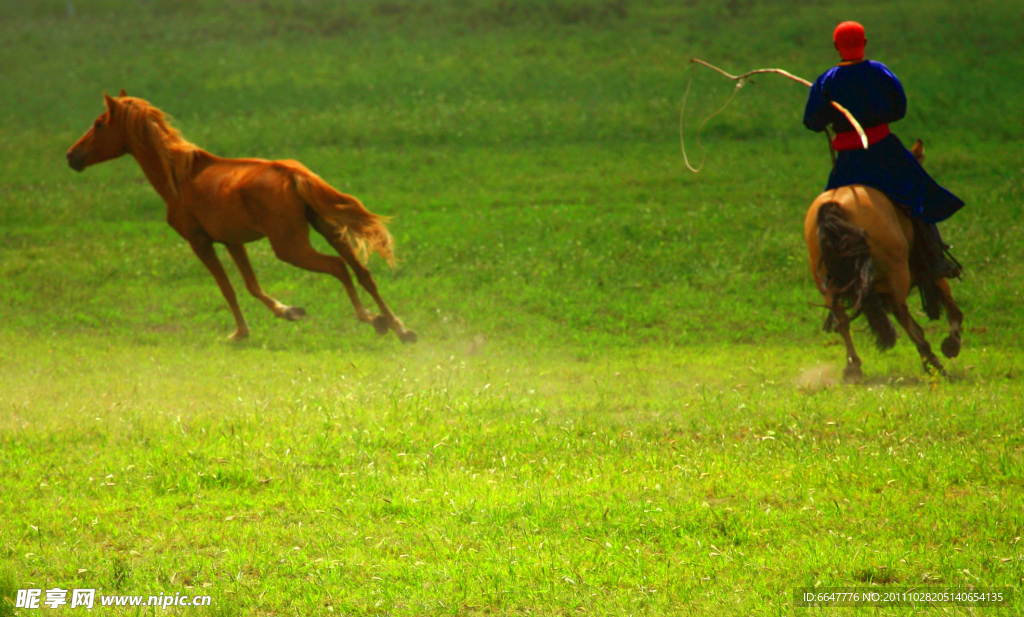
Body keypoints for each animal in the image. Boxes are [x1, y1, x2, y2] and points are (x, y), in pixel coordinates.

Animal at [67, 91, 415, 343]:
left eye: (99, 123)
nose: (71, 156)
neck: (180, 177)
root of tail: (290, 172)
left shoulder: (200, 242)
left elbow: (228, 288)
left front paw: (239, 333)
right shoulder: (233, 241)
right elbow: (250, 285)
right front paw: (289, 311)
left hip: (290, 247)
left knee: (338, 267)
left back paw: (372, 319)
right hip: (328, 230)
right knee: (363, 272)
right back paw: (400, 329)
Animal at [802, 140, 962, 380]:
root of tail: (834, 203)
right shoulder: (929, 267)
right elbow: (948, 298)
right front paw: (952, 342)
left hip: (827, 282)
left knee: (842, 319)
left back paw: (853, 368)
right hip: (897, 273)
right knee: (902, 314)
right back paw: (932, 361)